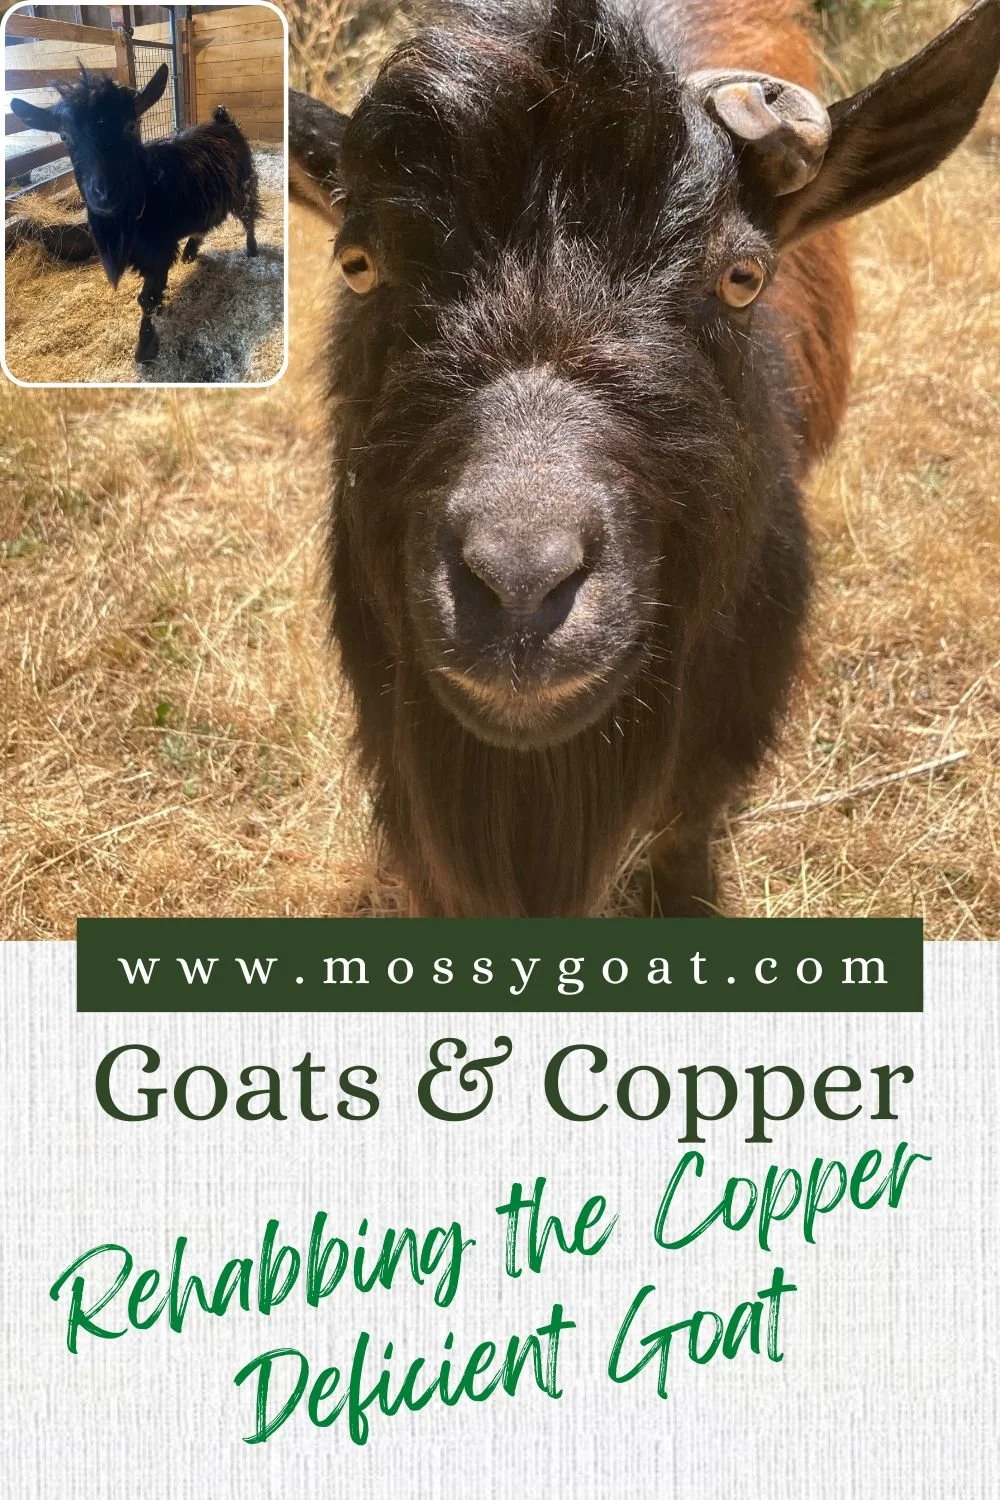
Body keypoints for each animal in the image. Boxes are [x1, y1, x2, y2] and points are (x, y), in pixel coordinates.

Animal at [11, 65, 261, 364]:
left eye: (131, 126)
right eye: (64, 136)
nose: (105, 192)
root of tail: (224, 121)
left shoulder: (159, 251)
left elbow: (147, 299)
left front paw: (145, 348)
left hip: (244, 185)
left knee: (248, 216)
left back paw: (252, 249)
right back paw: (191, 251)